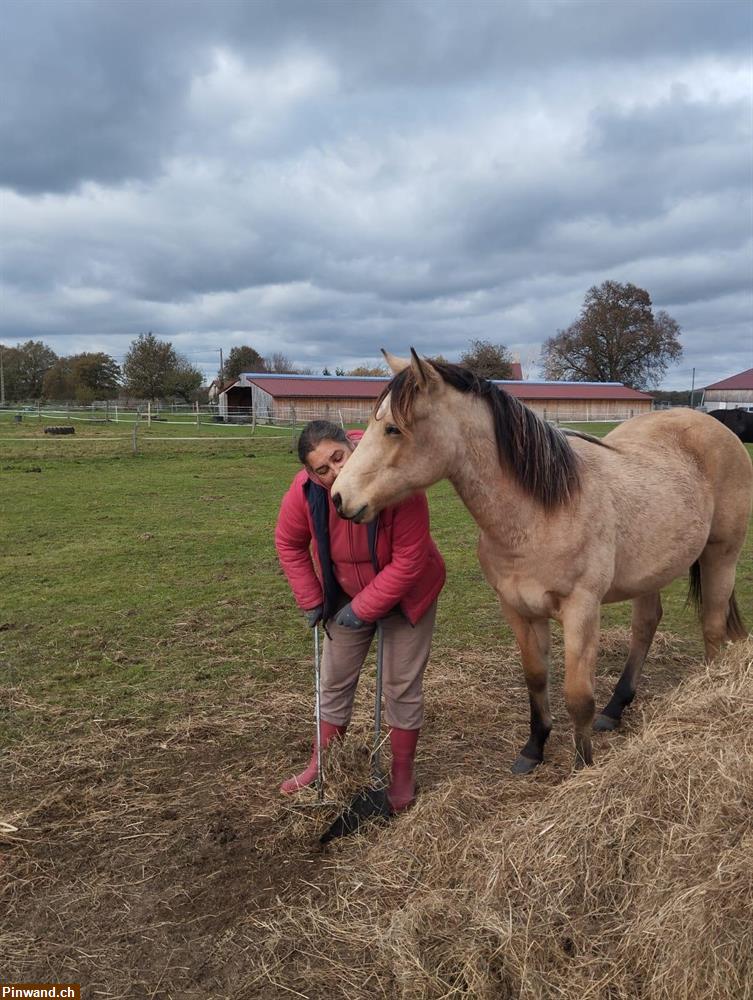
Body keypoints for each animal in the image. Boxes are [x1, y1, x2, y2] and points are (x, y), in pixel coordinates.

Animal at [330, 352, 752, 772]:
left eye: (393, 429)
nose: (338, 497)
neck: (541, 514)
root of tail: (713, 426)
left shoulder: (582, 611)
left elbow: (578, 696)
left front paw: (582, 767)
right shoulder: (518, 609)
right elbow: (535, 678)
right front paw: (533, 749)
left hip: (721, 555)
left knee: (712, 626)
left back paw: (707, 692)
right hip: (651, 572)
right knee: (646, 626)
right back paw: (615, 709)